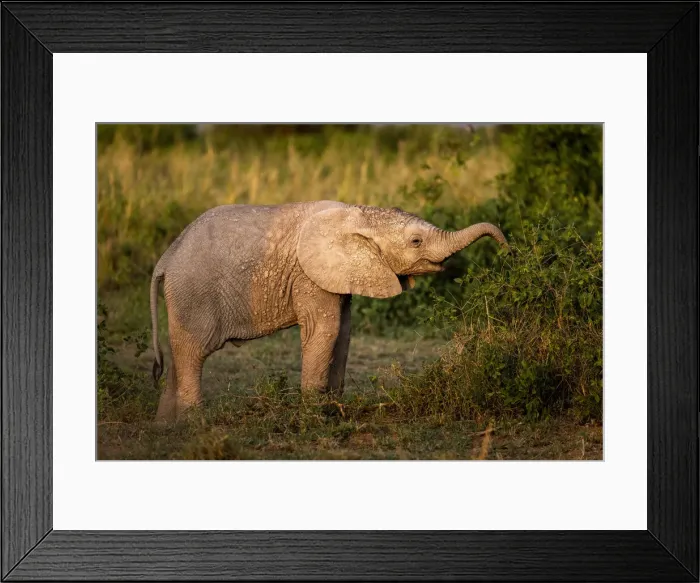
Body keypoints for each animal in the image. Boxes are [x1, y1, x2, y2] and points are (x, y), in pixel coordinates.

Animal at [150, 201, 508, 421]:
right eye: (416, 242)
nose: (506, 248)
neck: (361, 213)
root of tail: (165, 259)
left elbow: (344, 332)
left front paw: (334, 407)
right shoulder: (310, 275)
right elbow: (326, 329)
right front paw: (314, 414)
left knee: (179, 353)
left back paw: (166, 425)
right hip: (193, 292)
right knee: (193, 352)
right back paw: (196, 422)